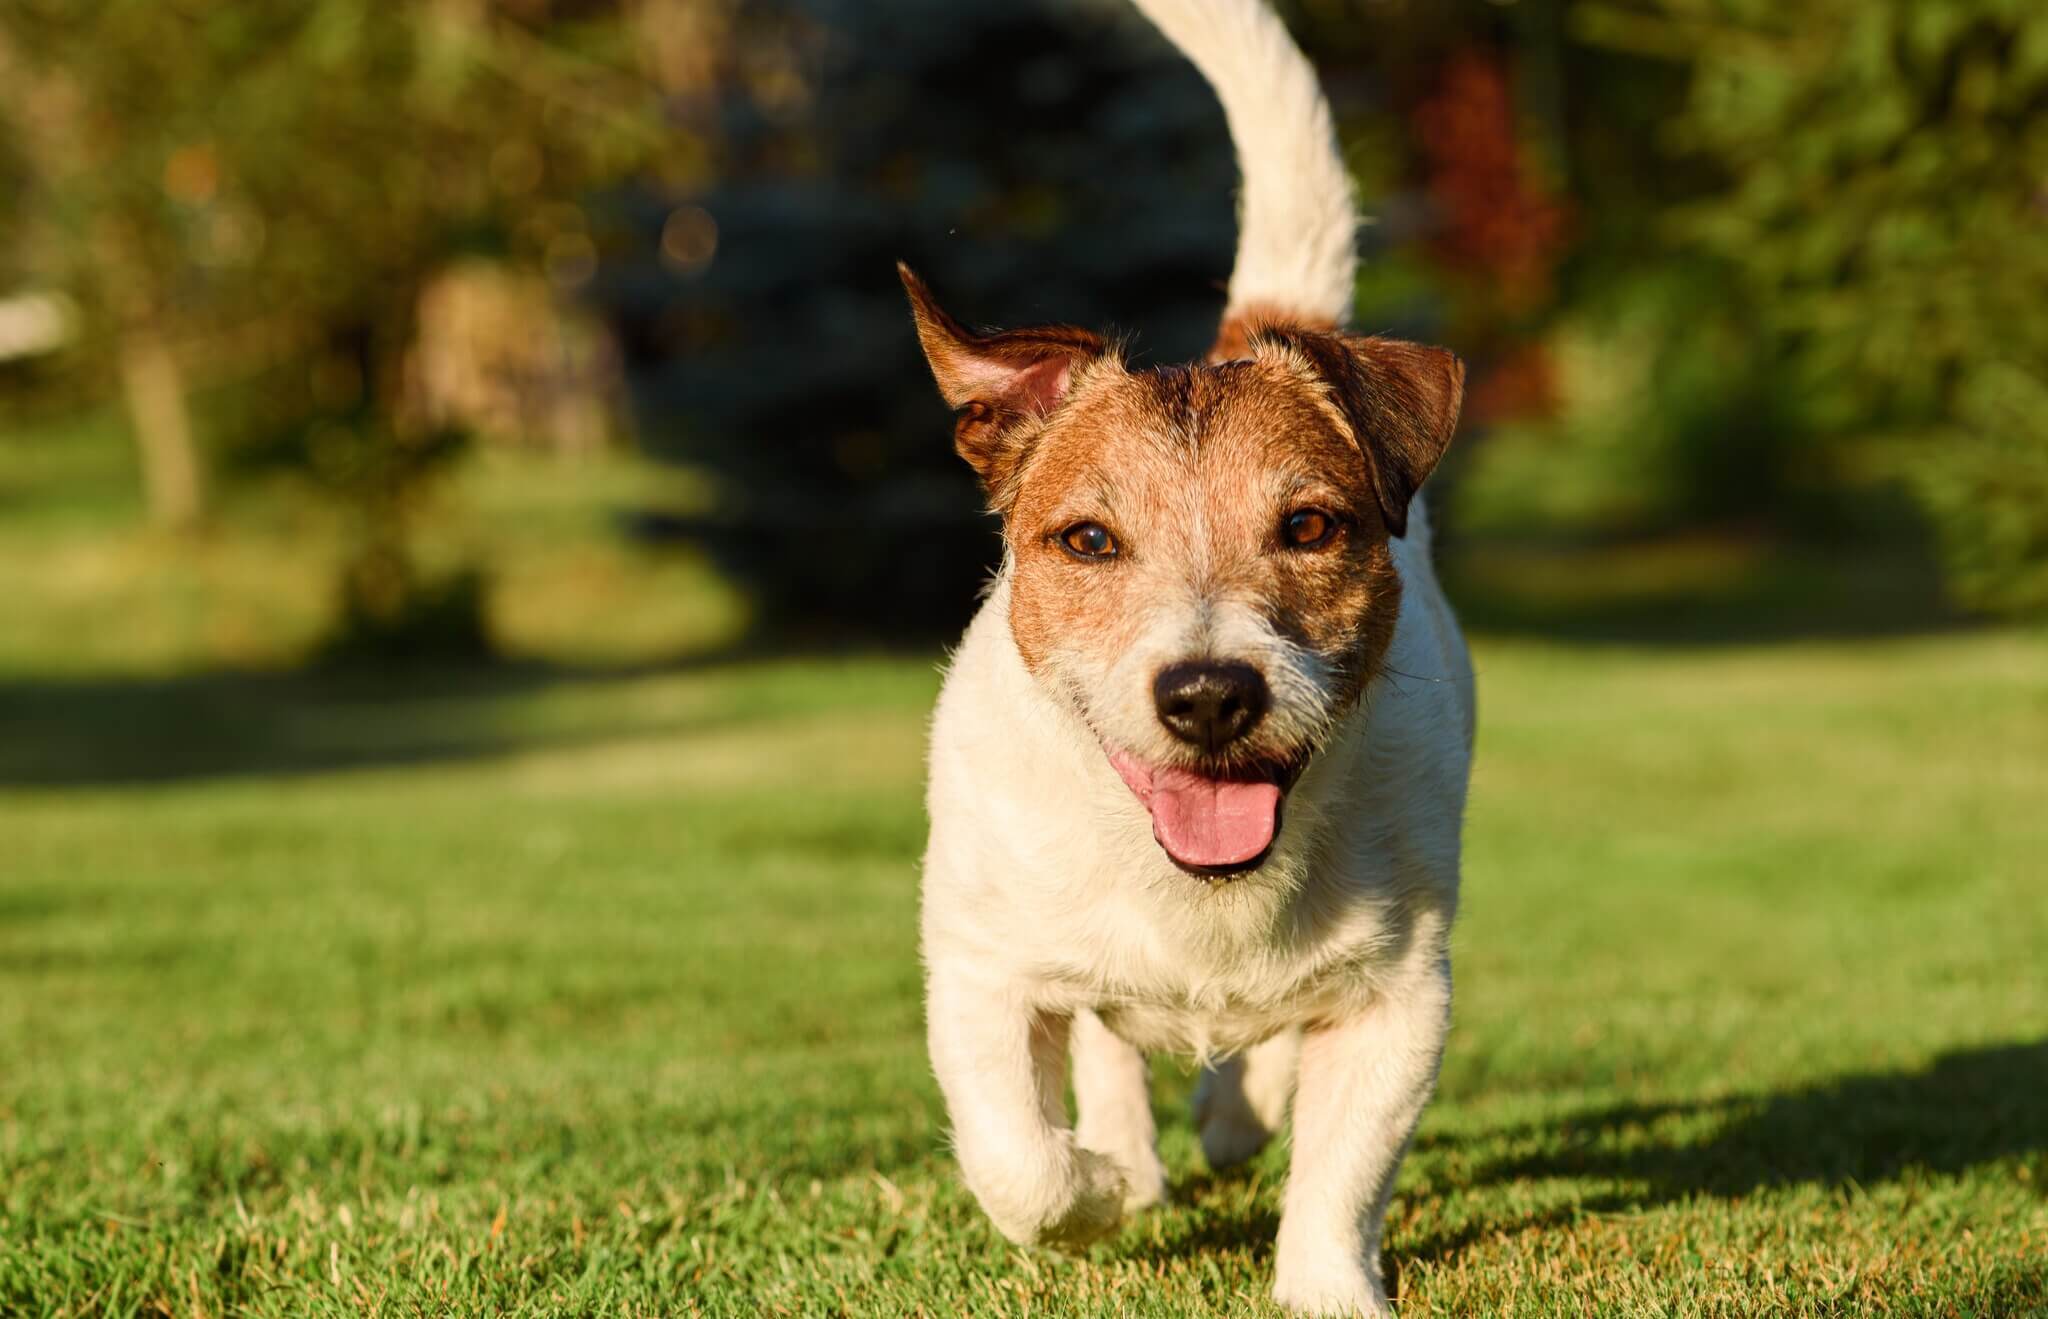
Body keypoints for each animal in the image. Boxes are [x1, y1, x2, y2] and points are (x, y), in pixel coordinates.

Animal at [901, 0, 1474, 1310]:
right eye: (1086, 538)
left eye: (1307, 525)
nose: (1208, 694)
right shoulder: (976, 971)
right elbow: (1018, 1157)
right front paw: (1101, 1184)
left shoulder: (1400, 999)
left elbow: (1340, 1173)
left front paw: (1324, 1285)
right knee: (1102, 1051)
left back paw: (1235, 1106)